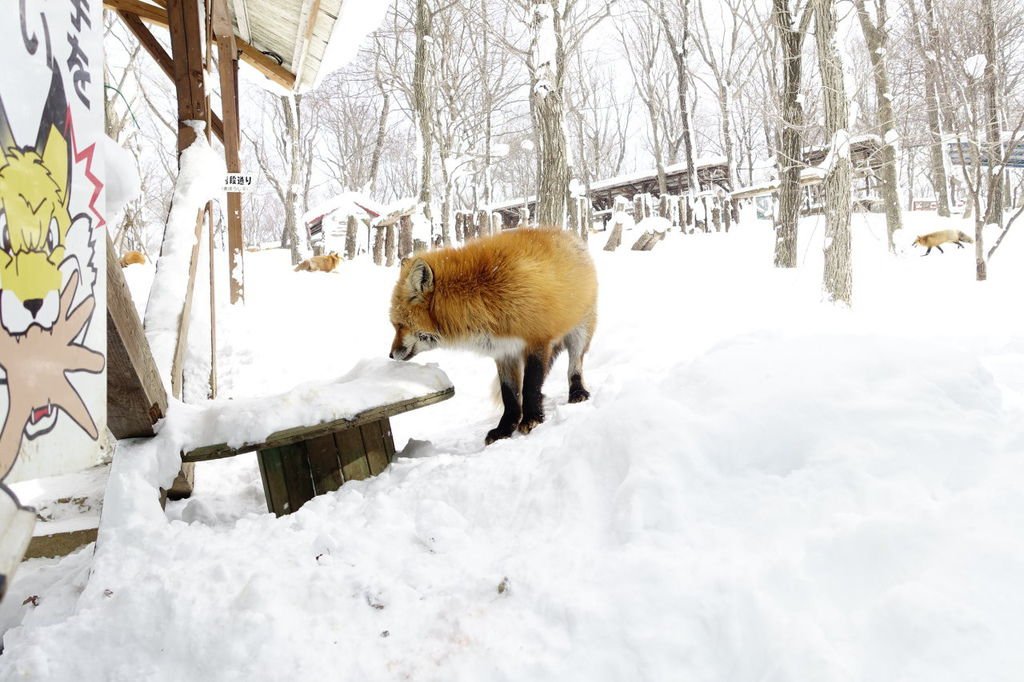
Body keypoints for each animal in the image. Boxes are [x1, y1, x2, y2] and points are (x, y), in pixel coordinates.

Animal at [391, 225, 598, 444]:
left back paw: (577, 392)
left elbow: (530, 385)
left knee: (574, 367)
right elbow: (510, 395)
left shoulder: (537, 342)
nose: (391, 354)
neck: (484, 297)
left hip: (580, 333)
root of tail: (568, 234)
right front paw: (505, 428)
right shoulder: (504, 351)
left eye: (399, 325)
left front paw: (532, 419)